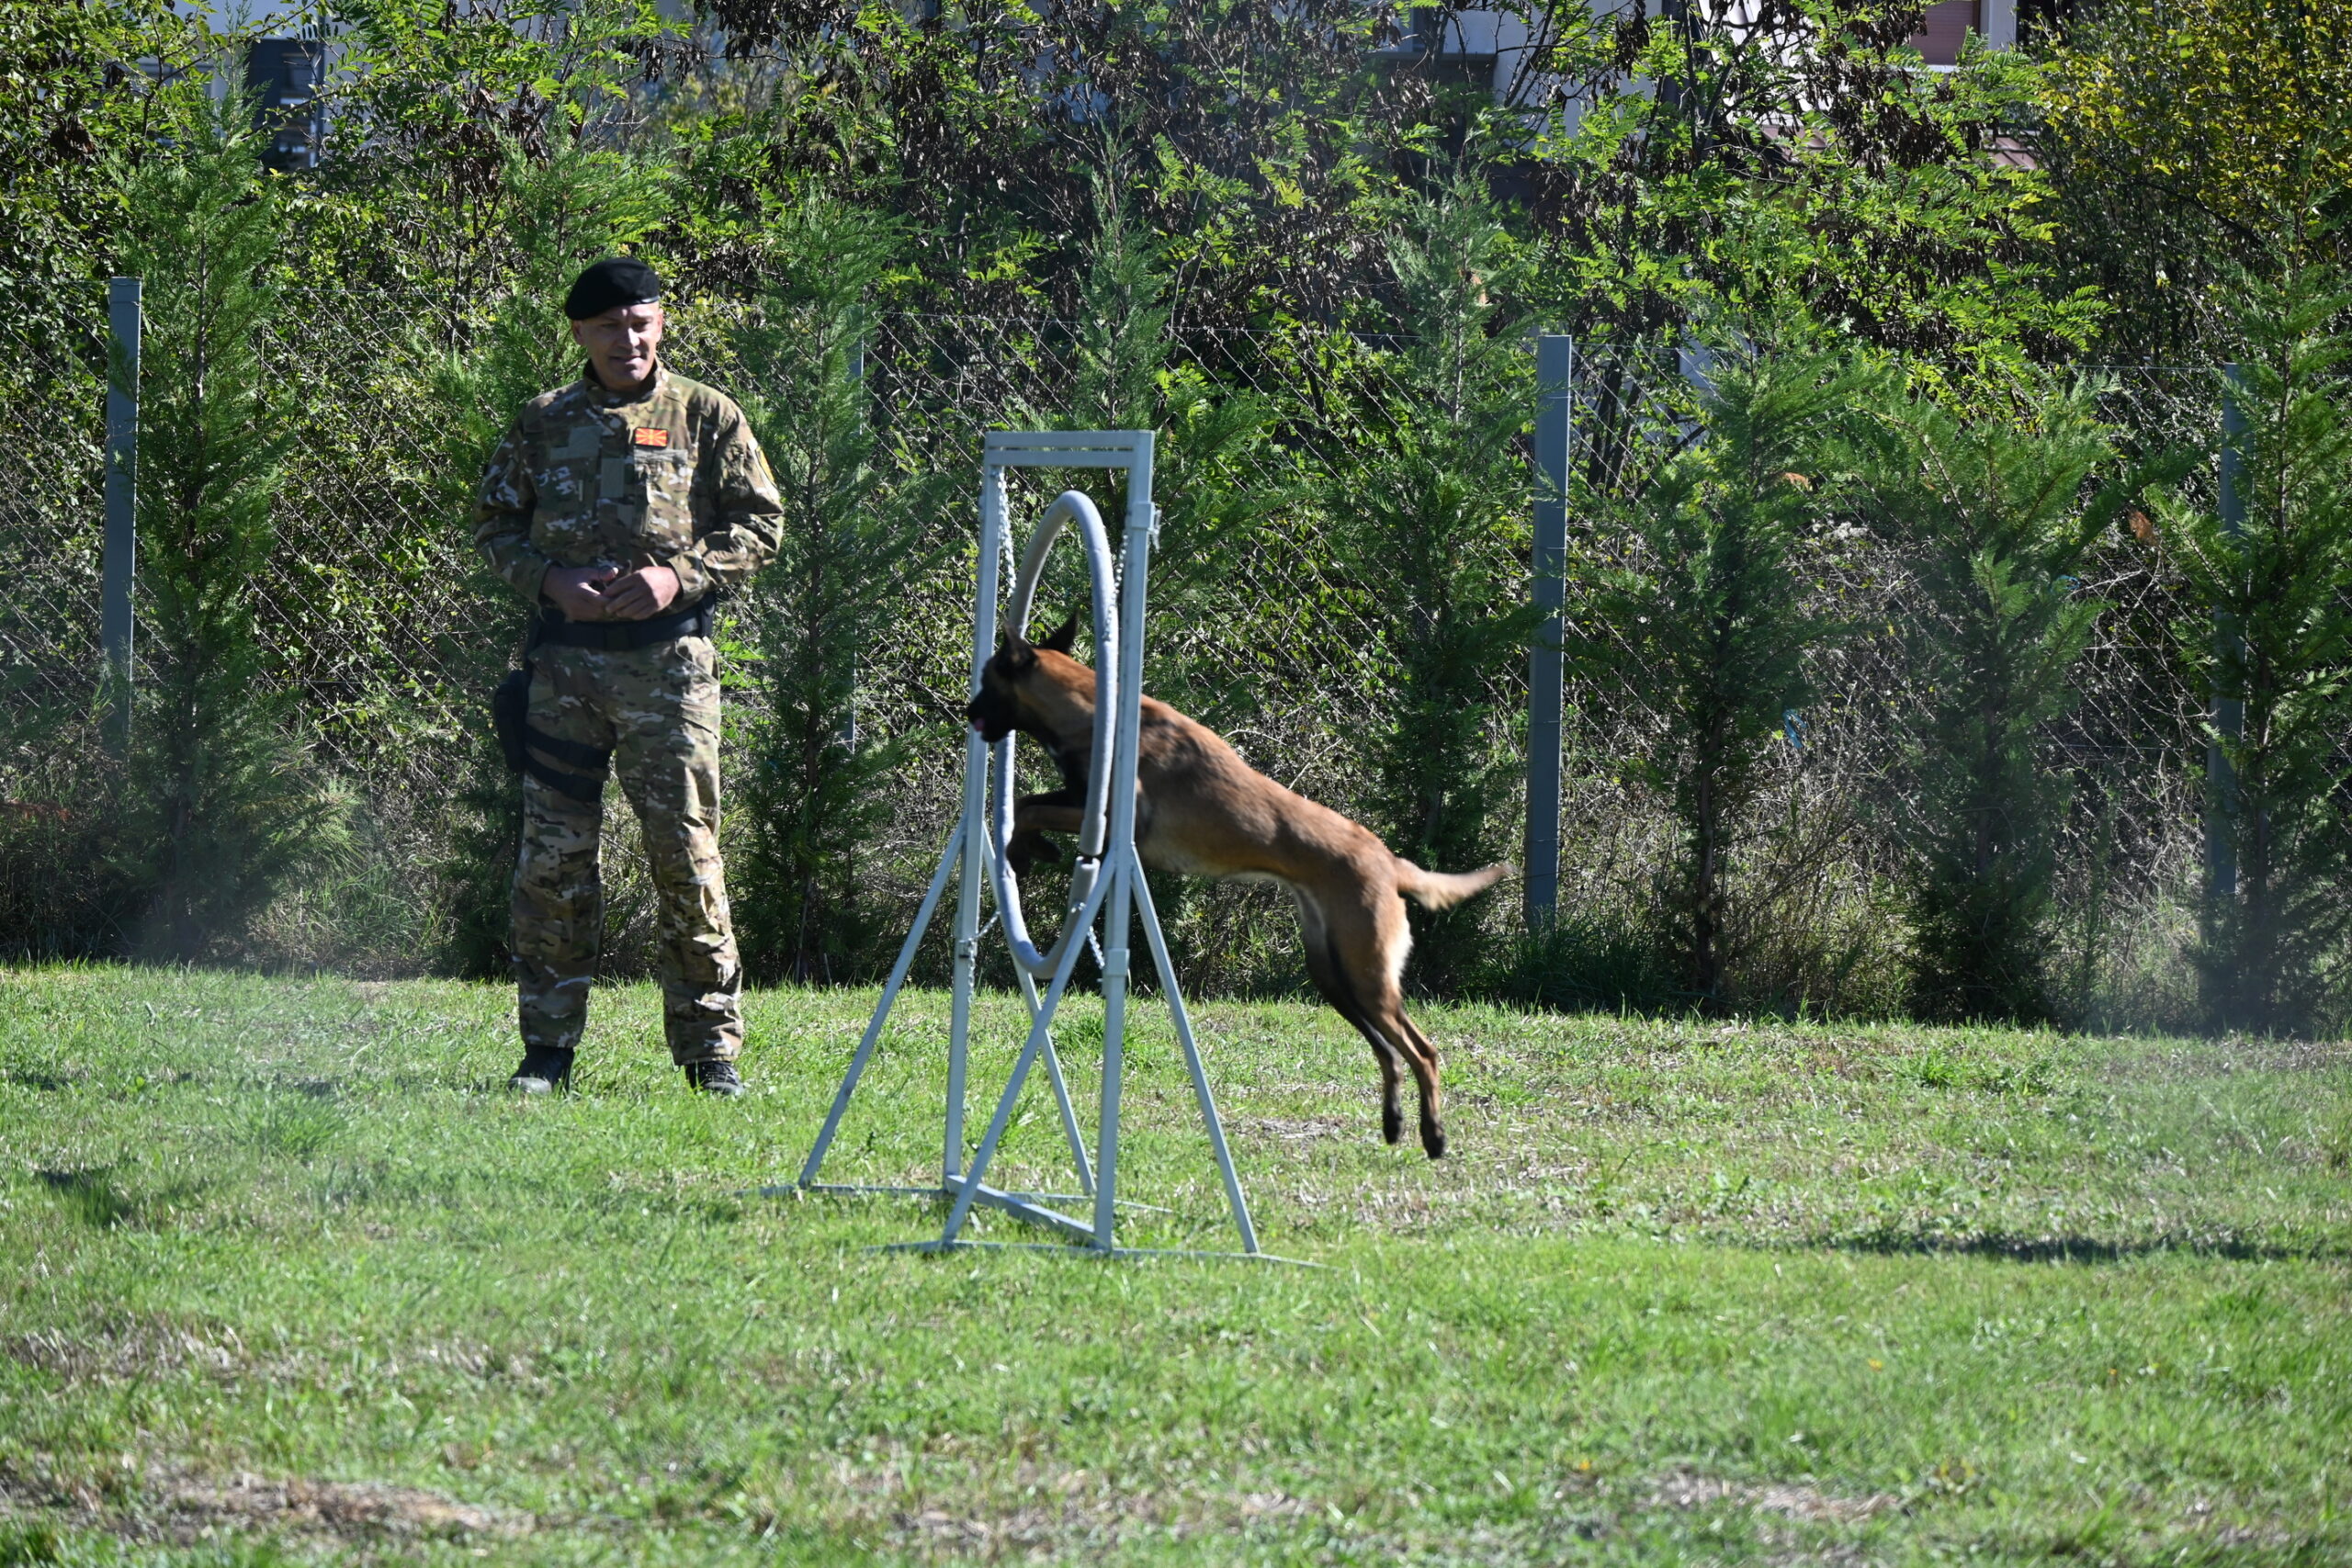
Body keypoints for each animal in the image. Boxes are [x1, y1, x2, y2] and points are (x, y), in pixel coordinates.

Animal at [964, 620, 1514, 1161]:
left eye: (988, 679)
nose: (967, 714)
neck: (1089, 706)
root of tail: (1390, 862)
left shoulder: (1116, 819)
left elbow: (1032, 807)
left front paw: (1025, 850)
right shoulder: (1082, 800)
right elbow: (1027, 801)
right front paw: (1026, 850)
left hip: (1368, 977)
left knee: (1423, 1051)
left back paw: (1433, 1135)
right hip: (1334, 977)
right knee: (1389, 1052)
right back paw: (1393, 1123)